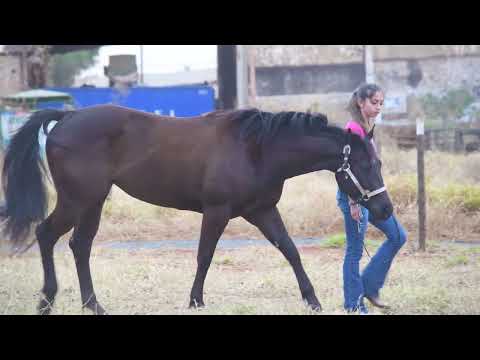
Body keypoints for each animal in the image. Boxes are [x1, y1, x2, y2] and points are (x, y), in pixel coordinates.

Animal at [1, 105, 392, 314]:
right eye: (366, 166)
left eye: (379, 163)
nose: (385, 209)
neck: (256, 149)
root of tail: (67, 116)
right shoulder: (217, 211)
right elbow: (205, 255)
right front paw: (195, 300)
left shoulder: (262, 211)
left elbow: (291, 251)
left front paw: (312, 300)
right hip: (76, 201)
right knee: (46, 234)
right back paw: (46, 300)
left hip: (92, 203)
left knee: (79, 246)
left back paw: (93, 304)